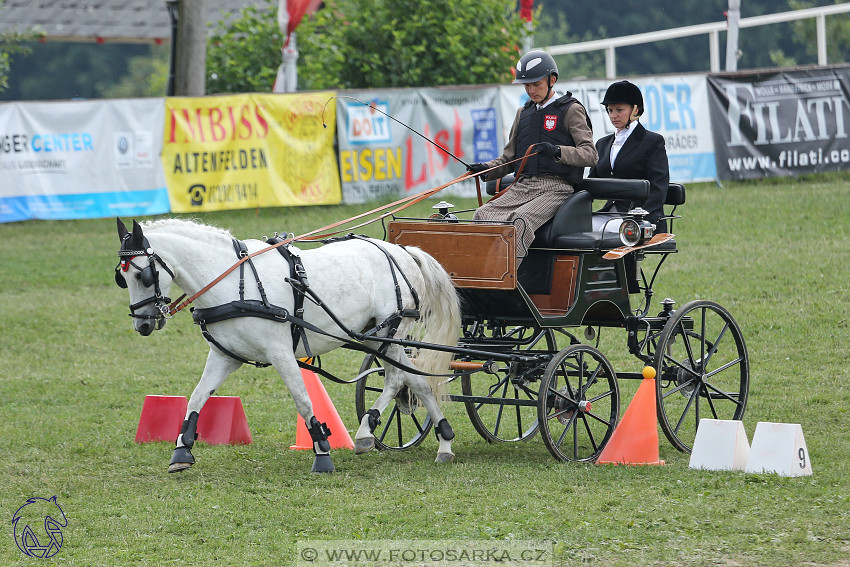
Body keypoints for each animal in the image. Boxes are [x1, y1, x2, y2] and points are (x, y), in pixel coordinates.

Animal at [115, 220, 460, 472]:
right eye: (121, 278)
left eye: (143, 276)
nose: (143, 324)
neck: (234, 283)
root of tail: (401, 250)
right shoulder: (225, 355)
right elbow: (197, 397)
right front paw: (182, 450)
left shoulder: (280, 353)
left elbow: (303, 400)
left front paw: (322, 451)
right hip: (380, 337)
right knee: (413, 379)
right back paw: (435, 440)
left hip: (389, 332)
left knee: (400, 377)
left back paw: (378, 431)